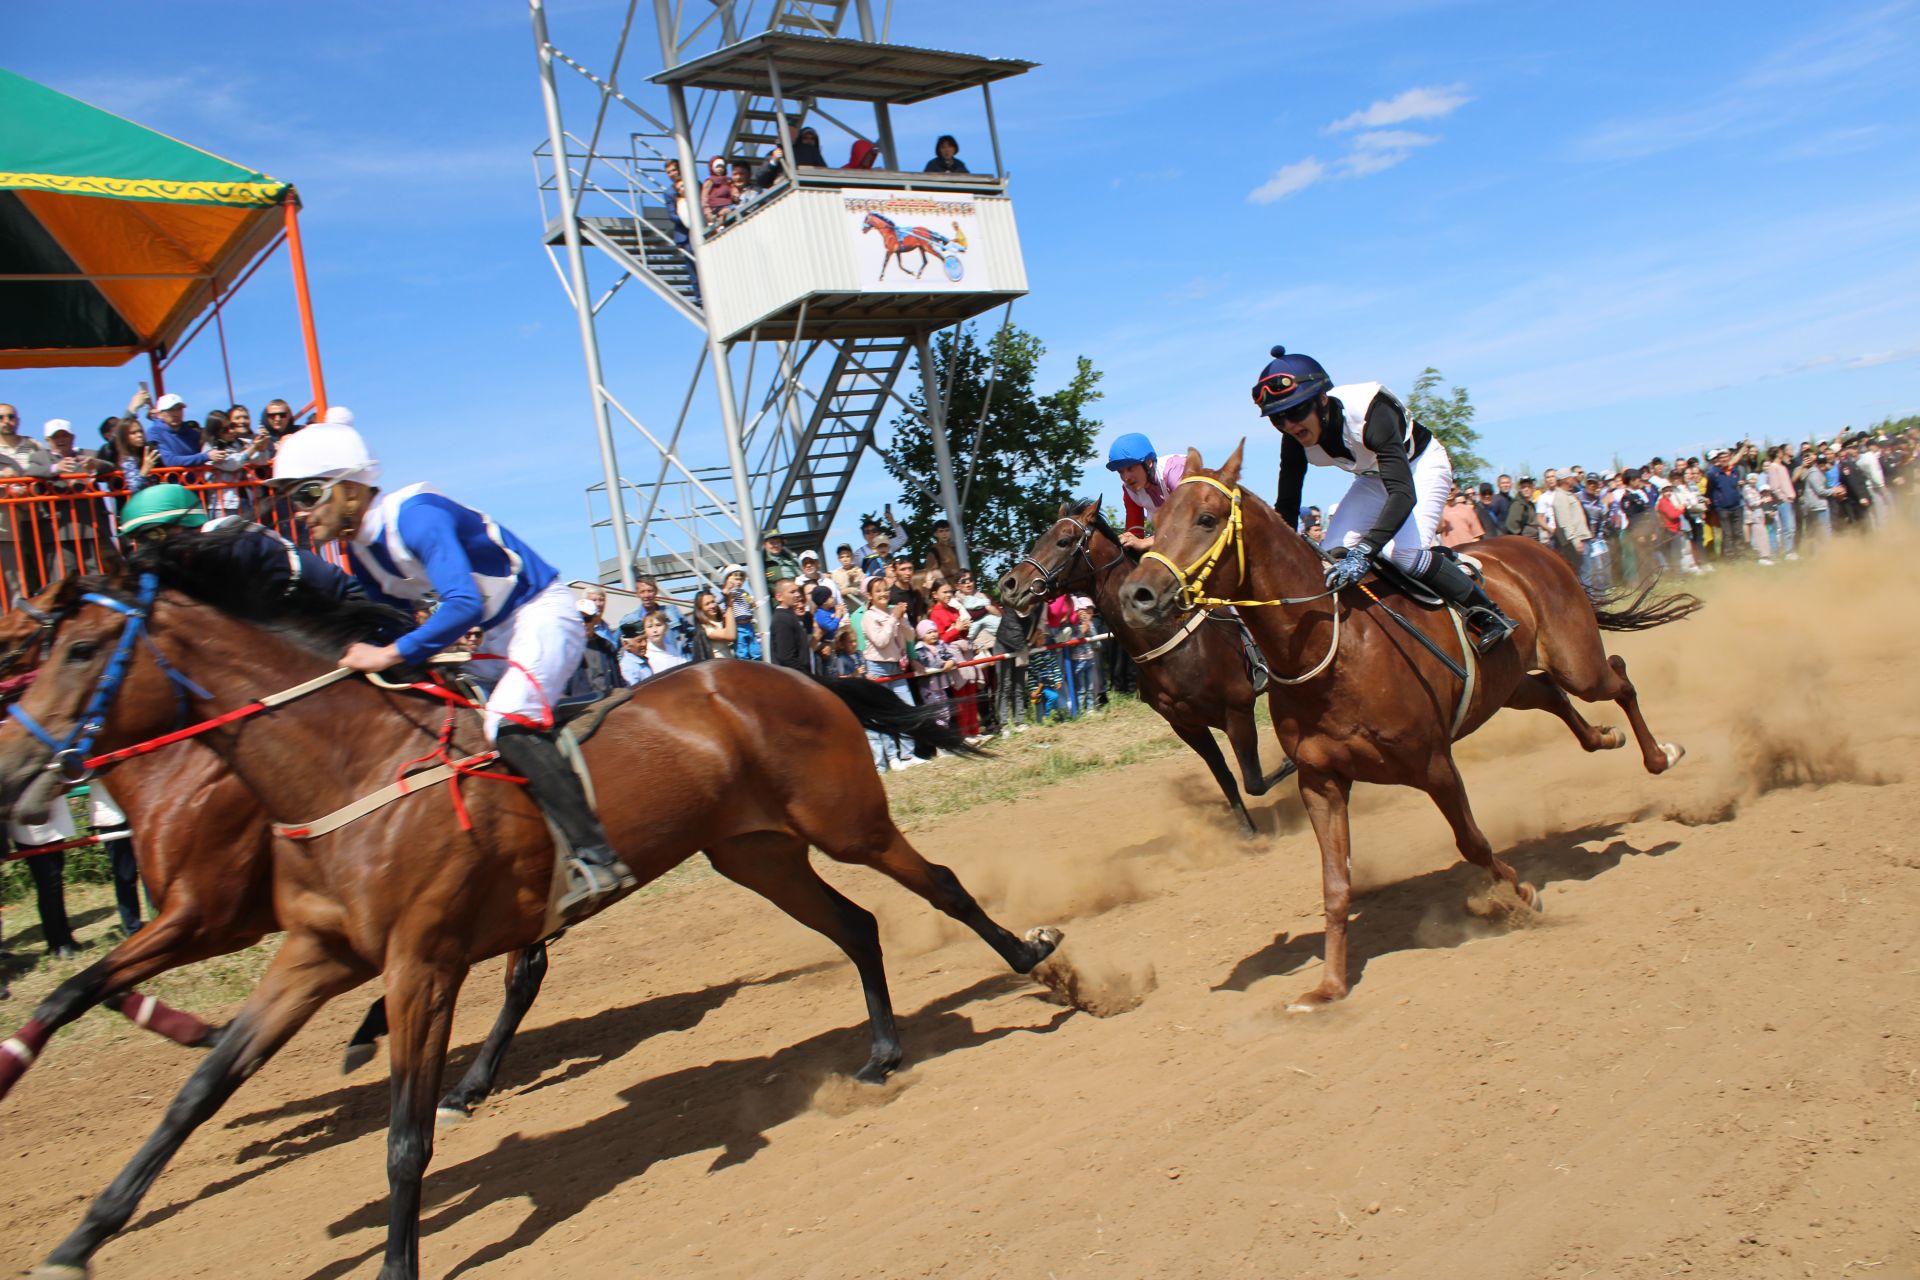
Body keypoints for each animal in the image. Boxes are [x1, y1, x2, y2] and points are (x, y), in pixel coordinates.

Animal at [0, 579, 549, 1120]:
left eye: (71, 649)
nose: (10, 767)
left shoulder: (204, 920)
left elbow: (83, 989)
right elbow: (83, 990)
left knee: (523, 974)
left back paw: (458, 1081)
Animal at [998, 495, 1297, 836]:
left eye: (1063, 540)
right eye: (1040, 540)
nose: (1008, 584)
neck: (1172, 642)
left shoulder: (1237, 710)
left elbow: (1255, 781)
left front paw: (1292, 763)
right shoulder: (1185, 724)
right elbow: (1227, 778)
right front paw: (1247, 831)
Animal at [1121, 445, 1704, 1013]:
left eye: (1206, 518)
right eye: (1154, 522)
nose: (1136, 595)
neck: (1331, 653)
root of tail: (1537, 548)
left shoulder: (1433, 764)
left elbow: (1472, 842)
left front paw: (1523, 894)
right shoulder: (1320, 780)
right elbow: (1335, 883)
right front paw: (1328, 987)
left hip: (1577, 661)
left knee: (1619, 676)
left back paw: (1661, 757)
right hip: (1510, 684)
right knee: (1555, 698)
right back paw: (1605, 737)